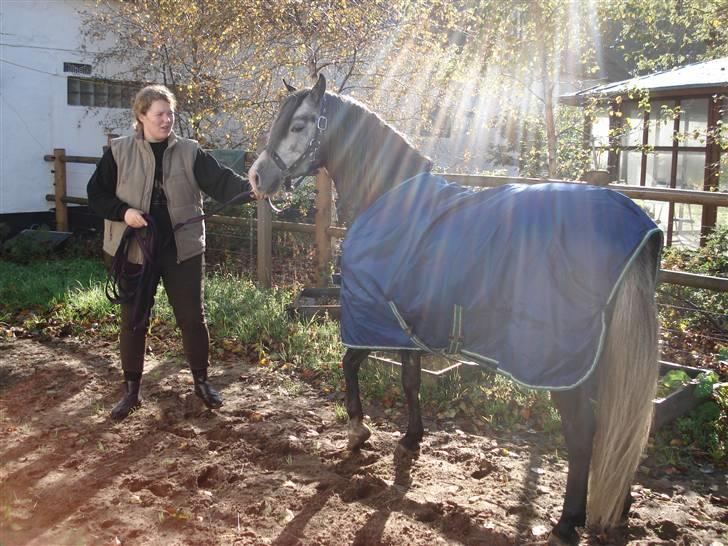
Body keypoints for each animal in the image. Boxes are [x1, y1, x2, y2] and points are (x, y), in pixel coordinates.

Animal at [248, 74, 662, 546]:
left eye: (298, 125)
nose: (257, 177)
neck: (389, 198)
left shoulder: (374, 315)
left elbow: (350, 363)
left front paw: (357, 431)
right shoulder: (406, 321)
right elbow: (410, 381)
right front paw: (410, 440)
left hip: (564, 366)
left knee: (583, 434)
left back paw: (567, 522)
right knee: (616, 427)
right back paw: (618, 507)